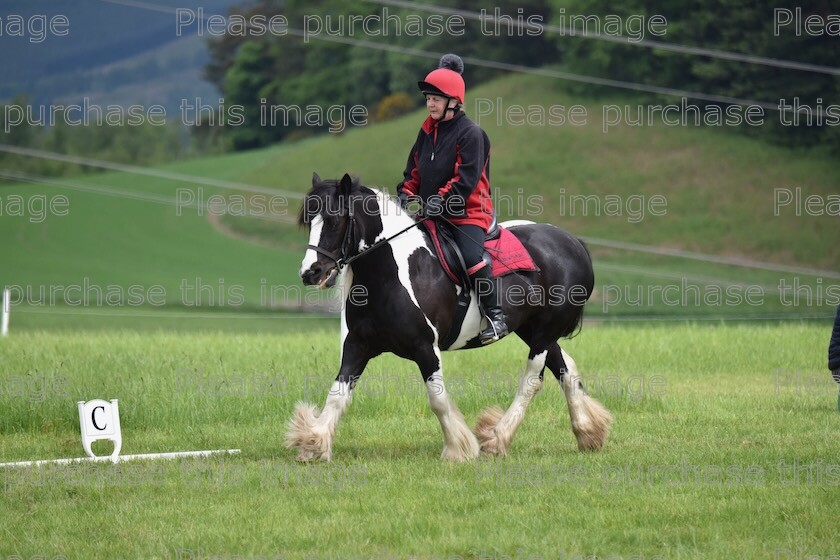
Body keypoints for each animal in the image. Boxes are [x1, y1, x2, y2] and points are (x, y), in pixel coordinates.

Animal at [288, 173, 612, 462]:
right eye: (309, 221)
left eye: (334, 219)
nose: (310, 272)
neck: (389, 275)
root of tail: (573, 242)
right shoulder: (358, 345)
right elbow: (337, 394)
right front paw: (314, 443)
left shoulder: (425, 348)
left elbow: (438, 399)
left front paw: (459, 449)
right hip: (531, 329)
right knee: (565, 368)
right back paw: (588, 431)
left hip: (545, 330)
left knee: (533, 379)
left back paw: (498, 438)